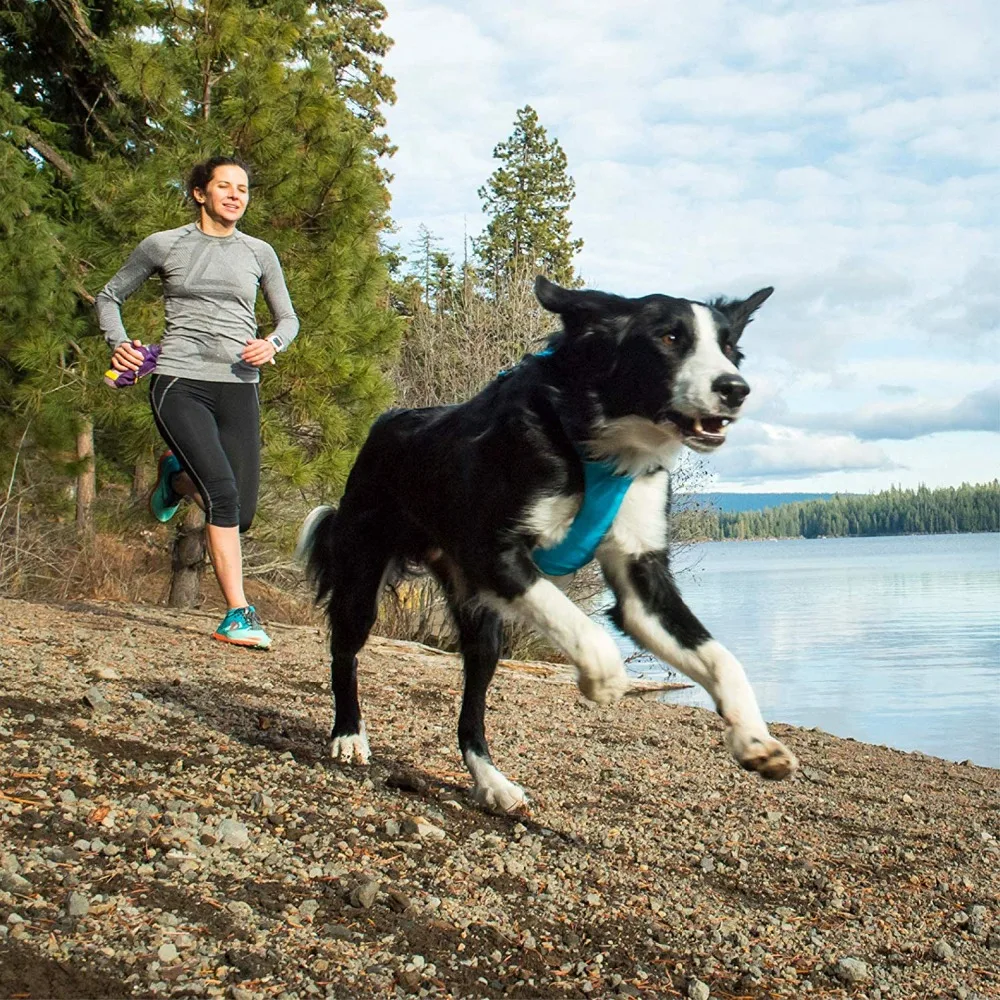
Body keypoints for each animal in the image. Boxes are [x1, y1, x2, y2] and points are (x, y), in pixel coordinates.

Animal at [296, 274, 796, 812]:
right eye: (669, 338)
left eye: (729, 350)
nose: (735, 389)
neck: (601, 441)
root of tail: (385, 423)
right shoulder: (494, 553)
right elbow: (579, 624)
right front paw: (604, 679)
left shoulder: (642, 577)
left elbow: (721, 657)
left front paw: (754, 741)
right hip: (362, 573)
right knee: (344, 653)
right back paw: (348, 735)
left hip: (482, 629)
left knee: (471, 712)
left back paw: (492, 781)